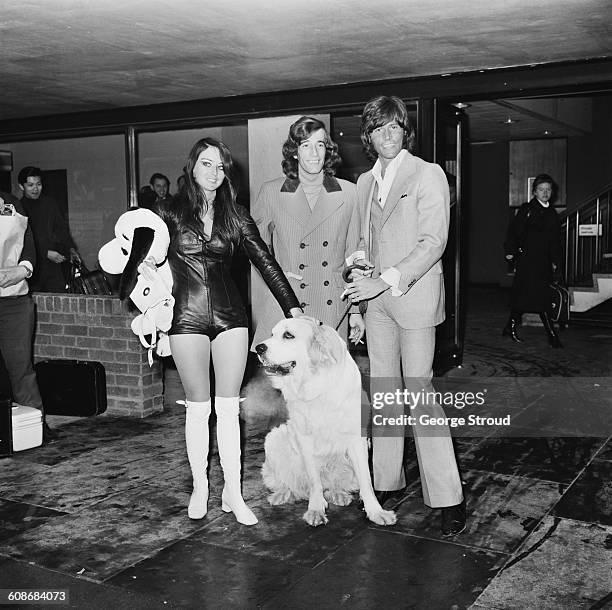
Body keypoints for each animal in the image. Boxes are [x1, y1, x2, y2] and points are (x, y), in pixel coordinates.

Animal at [253, 316, 396, 524]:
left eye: (288, 335)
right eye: (272, 334)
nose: (258, 348)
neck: (316, 381)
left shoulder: (357, 438)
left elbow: (366, 481)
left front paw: (376, 511)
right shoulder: (304, 438)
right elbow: (314, 481)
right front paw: (315, 509)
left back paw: (338, 494)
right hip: (275, 438)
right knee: (291, 484)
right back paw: (282, 494)